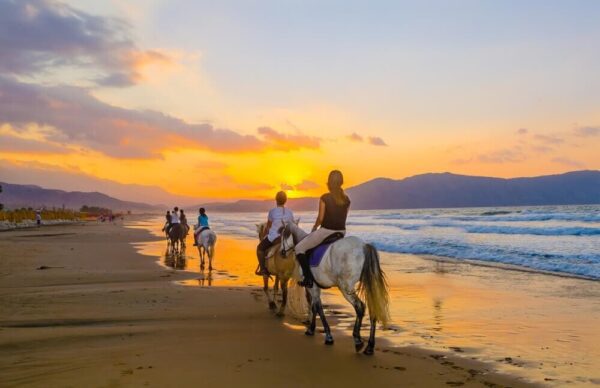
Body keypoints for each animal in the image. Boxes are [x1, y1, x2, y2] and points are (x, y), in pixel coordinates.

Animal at [284, 221, 392, 354]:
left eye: (282, 234)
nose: (282, 252)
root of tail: (364, 246)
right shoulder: (315, 287)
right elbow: (315, 307)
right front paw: (312, 329)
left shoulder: (312, 287)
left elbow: (318, 308)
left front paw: (327, 336)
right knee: (373, 308)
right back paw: (370, 347)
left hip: (345, 287)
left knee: (359, 307)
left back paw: (358, 340)